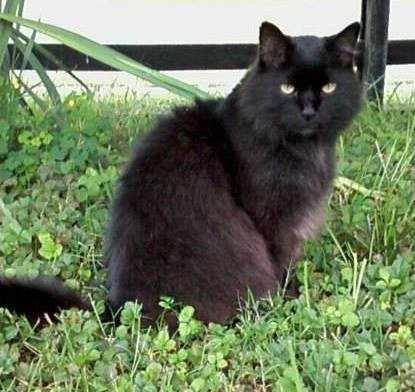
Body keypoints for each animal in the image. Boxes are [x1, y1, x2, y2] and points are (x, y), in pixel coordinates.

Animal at [0, 22, 364, 328]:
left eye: (329, 87)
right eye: (287, 88)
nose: (309, 111)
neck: (303, 150)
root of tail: (120, 308)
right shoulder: (270, 220)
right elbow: (280, 265)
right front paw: (289, 298)